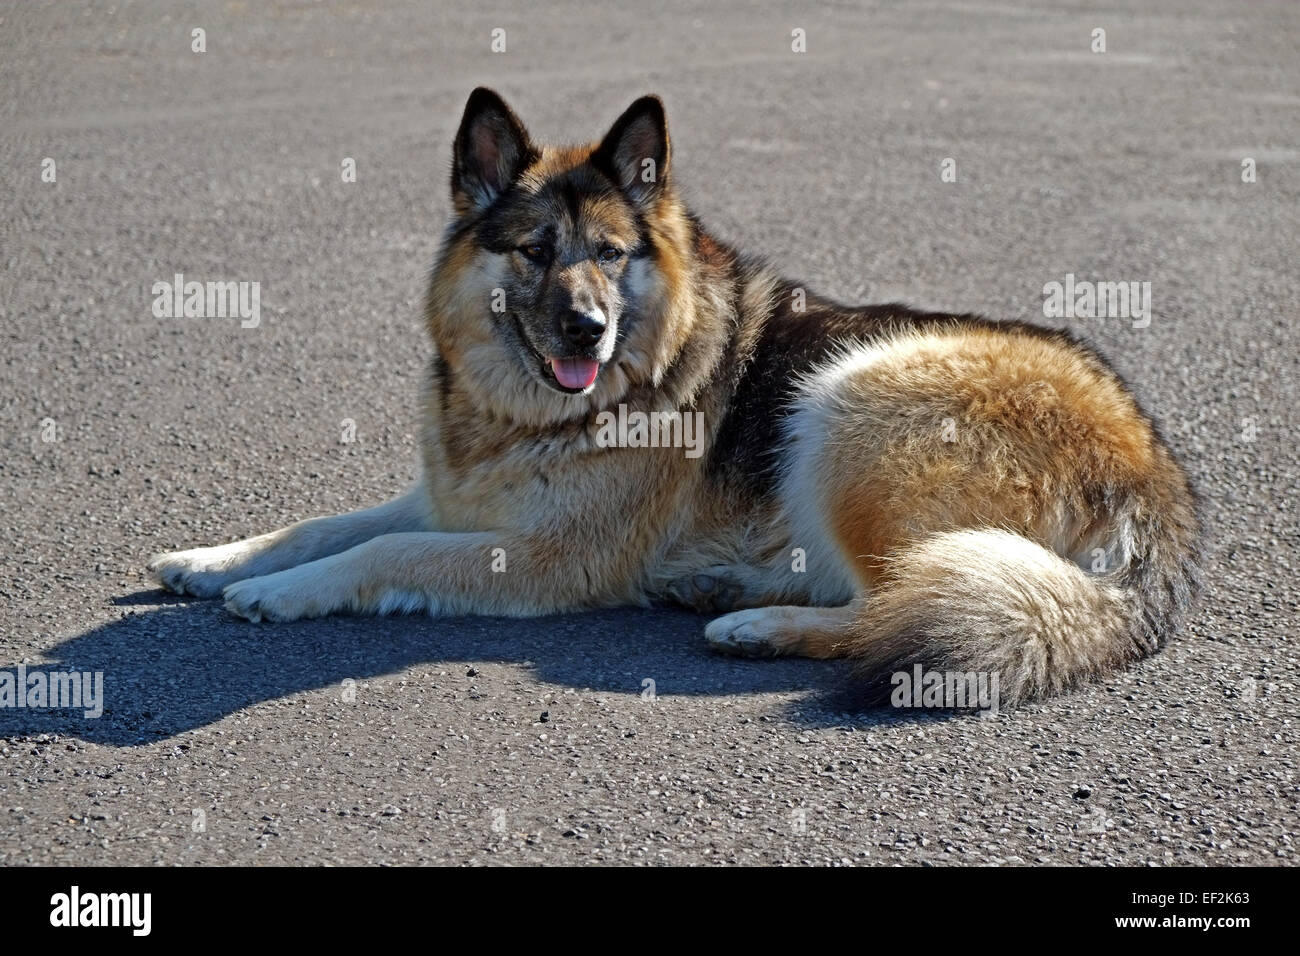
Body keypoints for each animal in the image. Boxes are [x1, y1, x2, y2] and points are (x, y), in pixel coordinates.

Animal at [149, 85, 1196, 707]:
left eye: (612, 255)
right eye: (535, 251)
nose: (587, 330)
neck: (532, 409)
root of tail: (1155, 479)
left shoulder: (534, 556)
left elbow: (378, 550)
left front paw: (274, 593)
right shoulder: (449, 500)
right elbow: (324, 523)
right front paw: (212, 559)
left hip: (846, 397)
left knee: (898, 603)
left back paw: (758, 625)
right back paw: (724, 585)